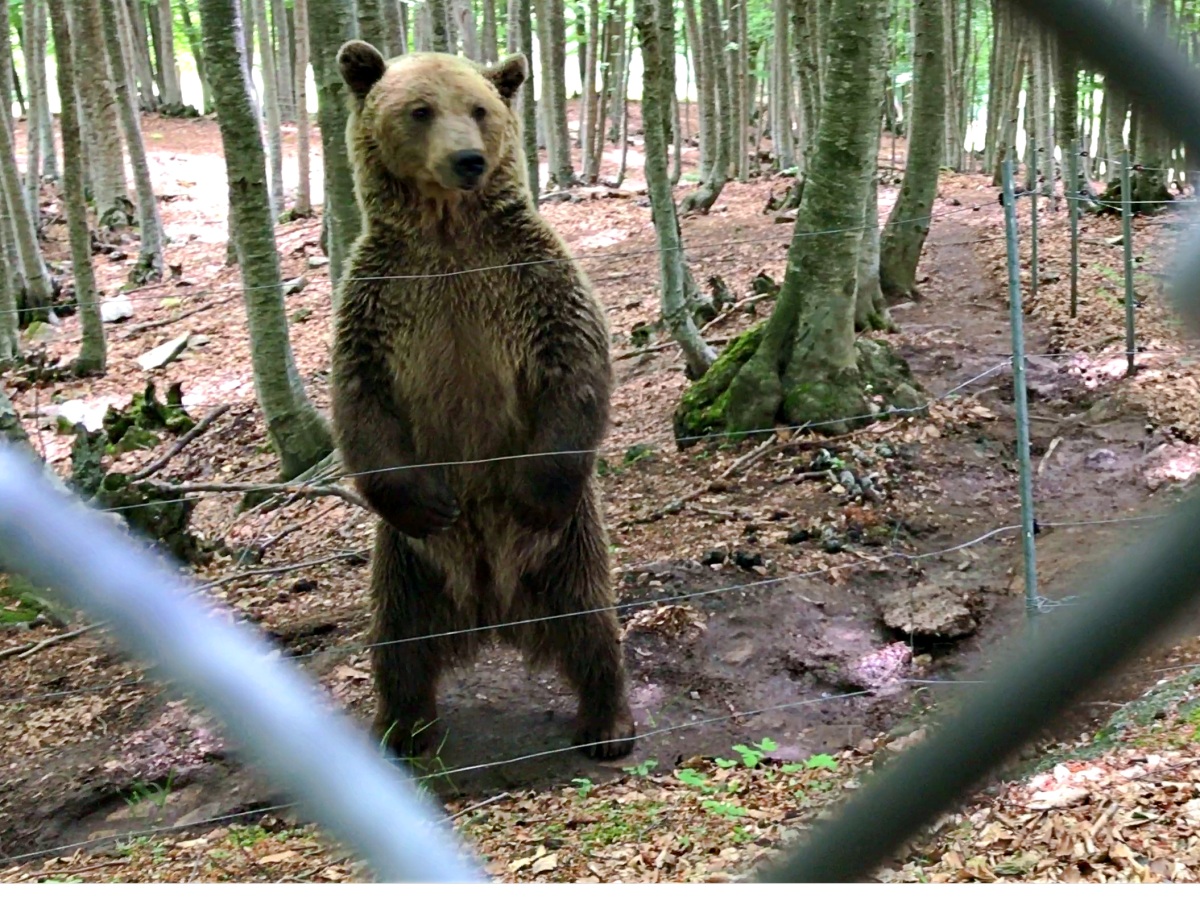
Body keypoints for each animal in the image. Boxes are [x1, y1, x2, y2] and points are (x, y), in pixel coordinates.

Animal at [328, 42, 638, 763]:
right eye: (420, 110)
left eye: (479, 108)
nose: (468, 159)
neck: (448, 233)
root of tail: (492, 610)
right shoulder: (381, 299)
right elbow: (360, 399)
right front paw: (428, 500)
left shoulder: (528, 277)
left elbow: (576, 361)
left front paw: (532, 489)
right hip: (406, 566)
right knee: (399, 646)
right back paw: (402, 730)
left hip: (569, 545)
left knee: (592, 626)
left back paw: (607, 724)